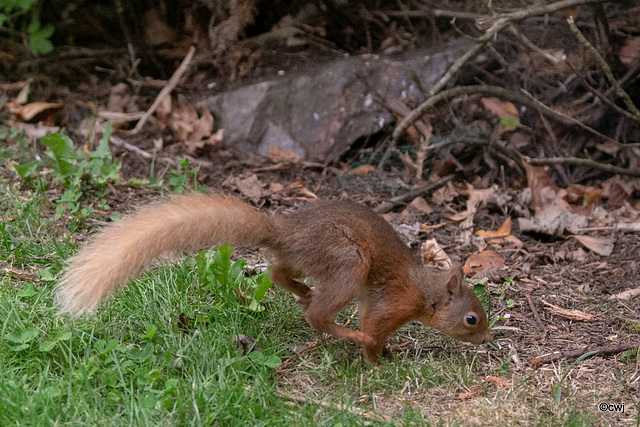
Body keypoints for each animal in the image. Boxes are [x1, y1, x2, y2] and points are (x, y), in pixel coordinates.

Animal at [58, 195, 490, 364]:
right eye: (471, 318)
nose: (486, 339)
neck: (426, 291)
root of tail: (287, 233)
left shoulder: (373, 298)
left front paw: (389, 352)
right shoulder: (392, 302)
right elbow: (375, 329)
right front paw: (376, 361)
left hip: (314, 262)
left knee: (277, 271)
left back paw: (303, 292)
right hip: (349, 262)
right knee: (316, 316)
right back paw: (346, 332)